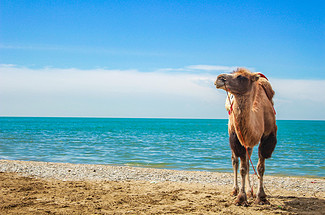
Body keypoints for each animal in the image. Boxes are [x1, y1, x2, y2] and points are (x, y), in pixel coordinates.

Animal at [214, 68, 278, 206]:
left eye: (241, 77)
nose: (219, 78)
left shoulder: (267, 137)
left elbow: (260, 167)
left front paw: (261, 196)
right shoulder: (237, 138)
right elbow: (242, 168)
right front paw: (241, 197)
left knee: (249, 162)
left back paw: (250, 192)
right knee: (235, 161)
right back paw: (235, 190)